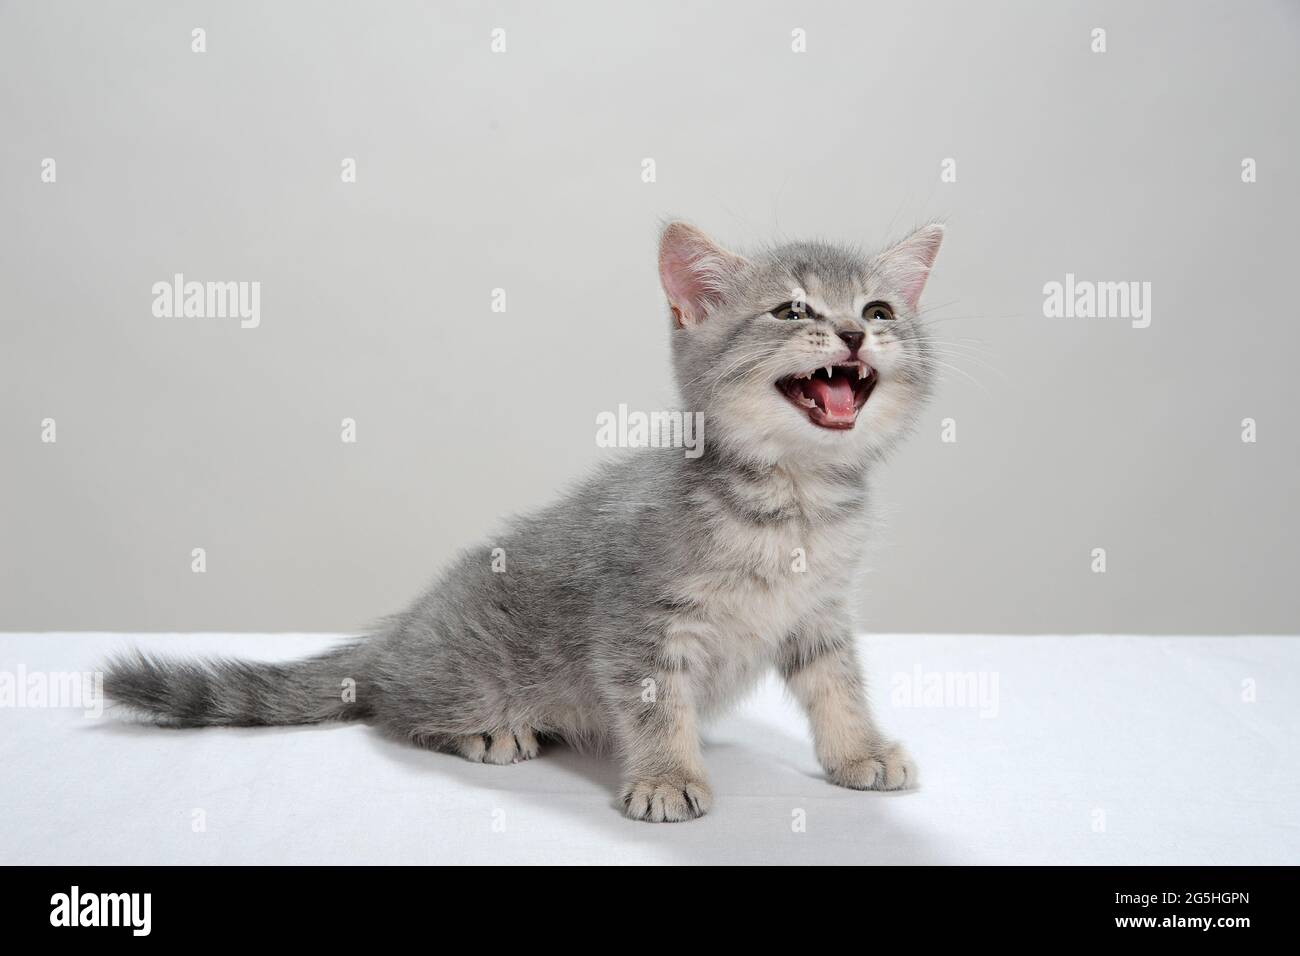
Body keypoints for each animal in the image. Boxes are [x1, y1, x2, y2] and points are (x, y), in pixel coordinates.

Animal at [104, 222, 946, 822]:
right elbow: (653, 703)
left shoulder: (821, 616)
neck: (794, 503)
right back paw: (484, 730)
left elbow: (839, 688)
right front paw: (667, 774)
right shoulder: (637, 623)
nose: (854, 333)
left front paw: (860, 752)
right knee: (391, 709)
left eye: (878, 310)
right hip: (461, 676)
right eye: (792, 309)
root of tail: (398, 632)